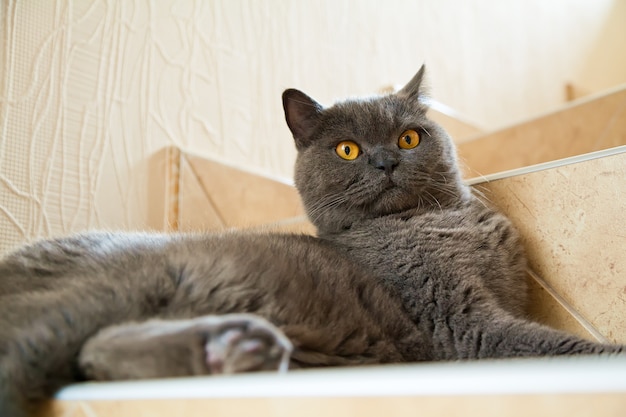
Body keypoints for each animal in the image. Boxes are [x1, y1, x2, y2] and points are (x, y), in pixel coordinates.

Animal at [0, 65, 620, 416]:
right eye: (348, 149)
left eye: (409, 137)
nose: (385, 160)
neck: (431, 222)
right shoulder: (463, 325)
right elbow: (553, 345)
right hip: (105, 291)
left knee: (96, 351)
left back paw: (234, 349)